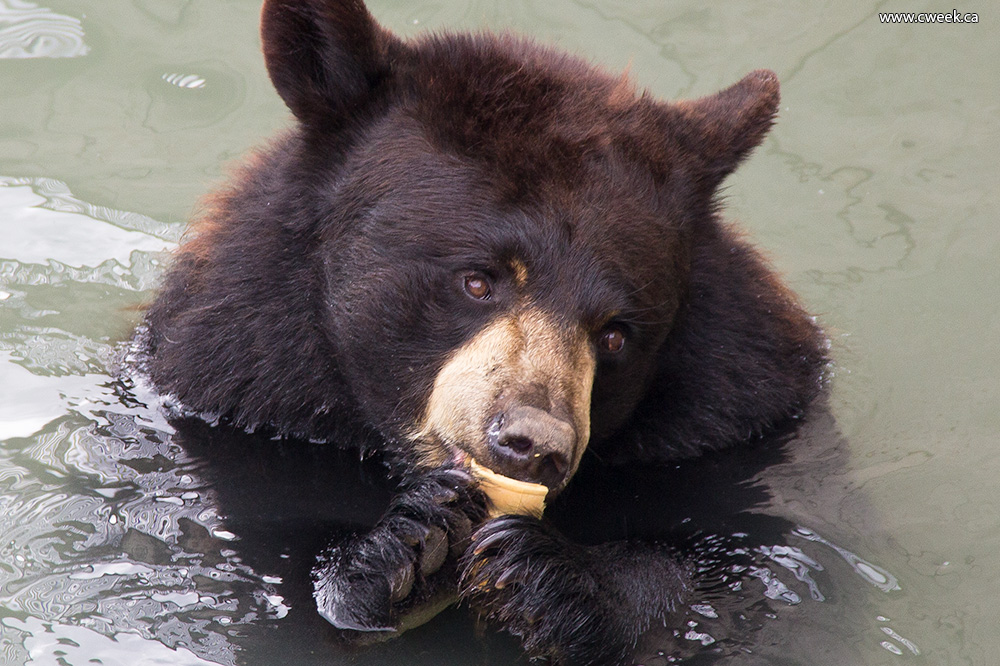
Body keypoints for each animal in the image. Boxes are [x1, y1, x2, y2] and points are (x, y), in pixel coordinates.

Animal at [137, 1, 824, 664]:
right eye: (477, 280)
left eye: (616, 334)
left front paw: (555, 579)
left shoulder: (737, 420)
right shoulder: (240, 392)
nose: (534, 442)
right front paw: (400, 549)